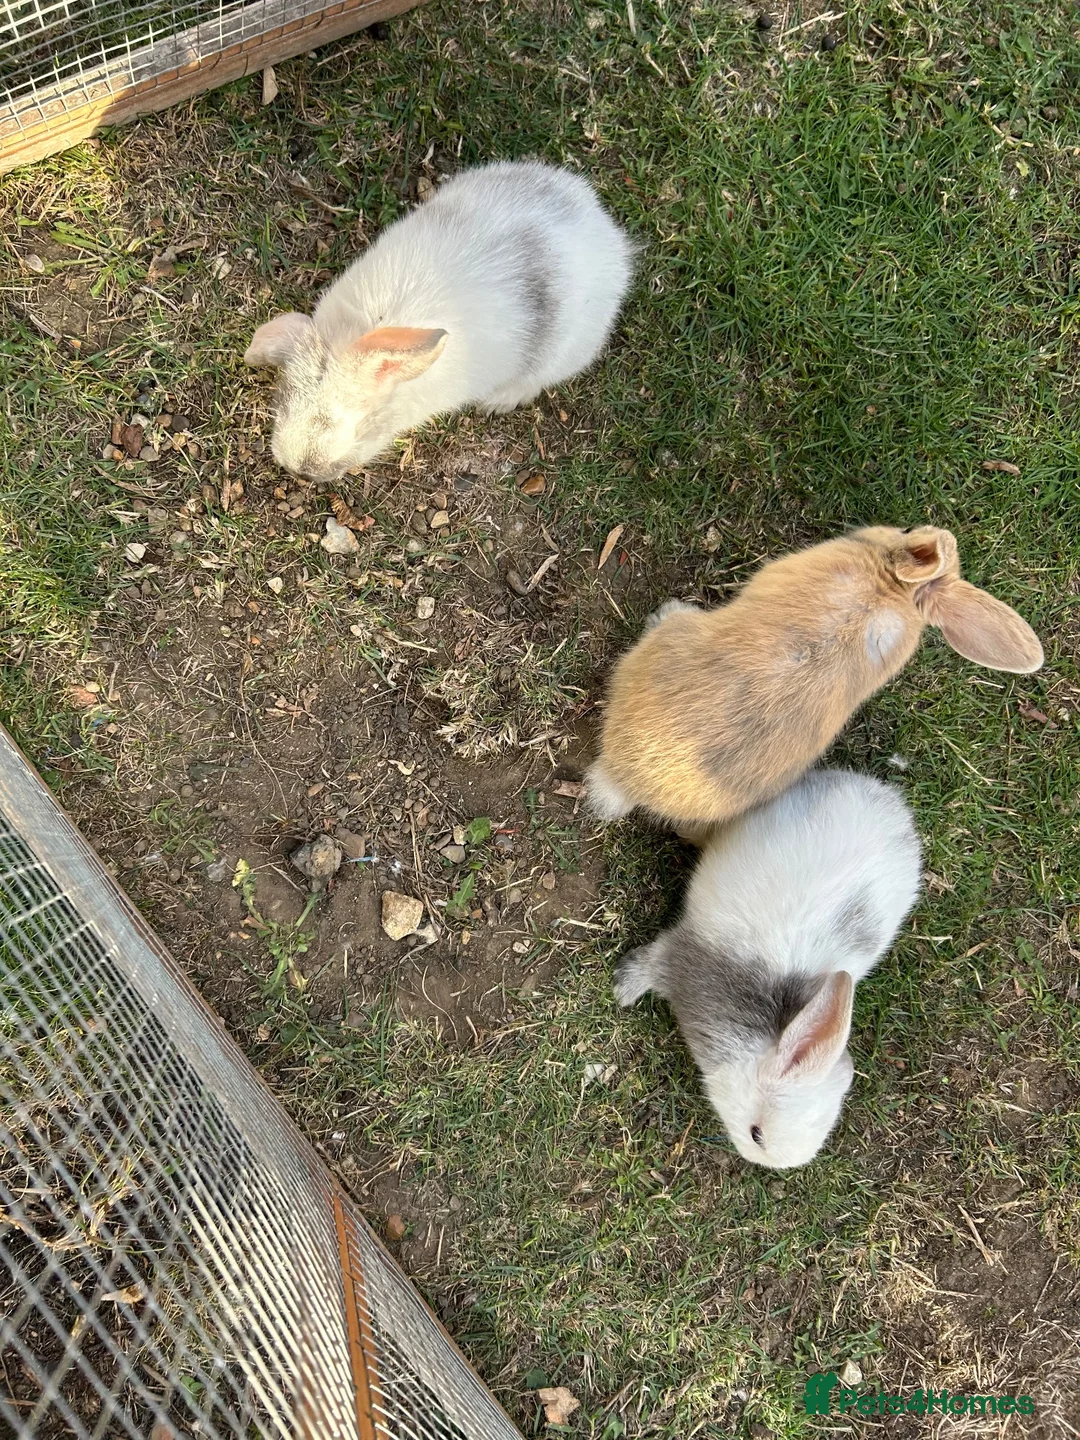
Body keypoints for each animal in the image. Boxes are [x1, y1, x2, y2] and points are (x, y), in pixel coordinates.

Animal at [614, 768, 922, 1169]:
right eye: (755, 1134)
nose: (757, 1161)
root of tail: (888, 798)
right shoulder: (677, 958)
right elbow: (649, 965)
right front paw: (622, 987)